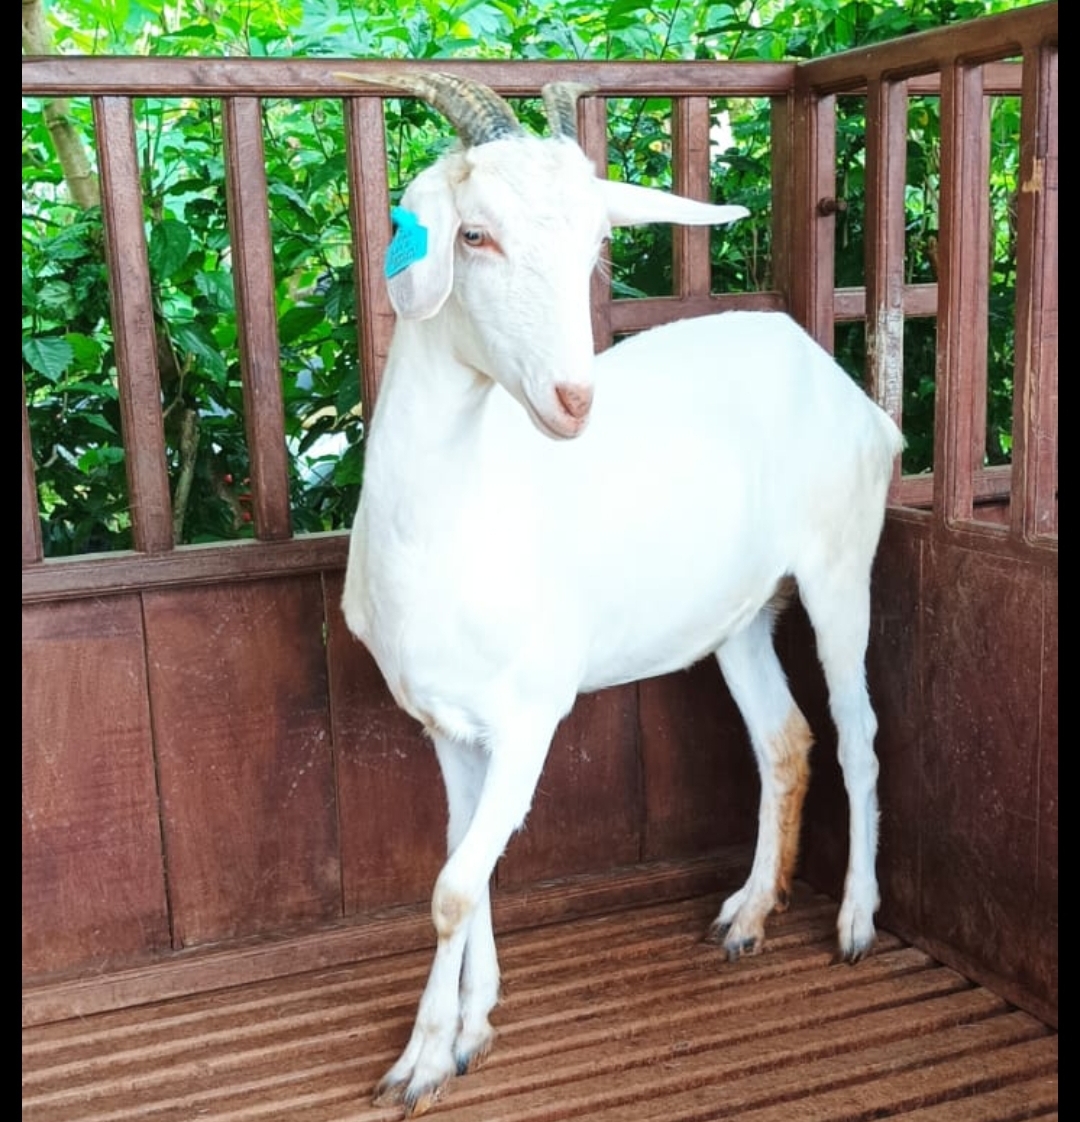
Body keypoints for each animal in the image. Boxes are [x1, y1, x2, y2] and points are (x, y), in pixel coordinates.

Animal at [338, 71, 904, 1116]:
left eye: (596, 245)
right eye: (473, 235)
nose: (574, 402)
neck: (455, 526)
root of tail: (831, 374)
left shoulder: (531, 715)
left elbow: (451, 886)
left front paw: (424, 1060)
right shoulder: (445, 726)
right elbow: (468, 868)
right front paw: (474, 1027)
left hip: (841, 567)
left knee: (858, 732)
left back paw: (853, 922)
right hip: (742, 615)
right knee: (785, 740)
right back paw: (747, 916)